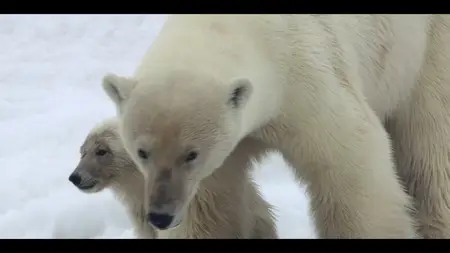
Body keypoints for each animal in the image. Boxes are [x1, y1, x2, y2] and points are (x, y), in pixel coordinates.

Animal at [101, 14, 450, 238]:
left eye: (191, 154)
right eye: (142, 152)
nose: (161, 215)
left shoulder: (305, 81)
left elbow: (350, 166)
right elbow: (210, 206)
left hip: (424, 53)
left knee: (427, 151)